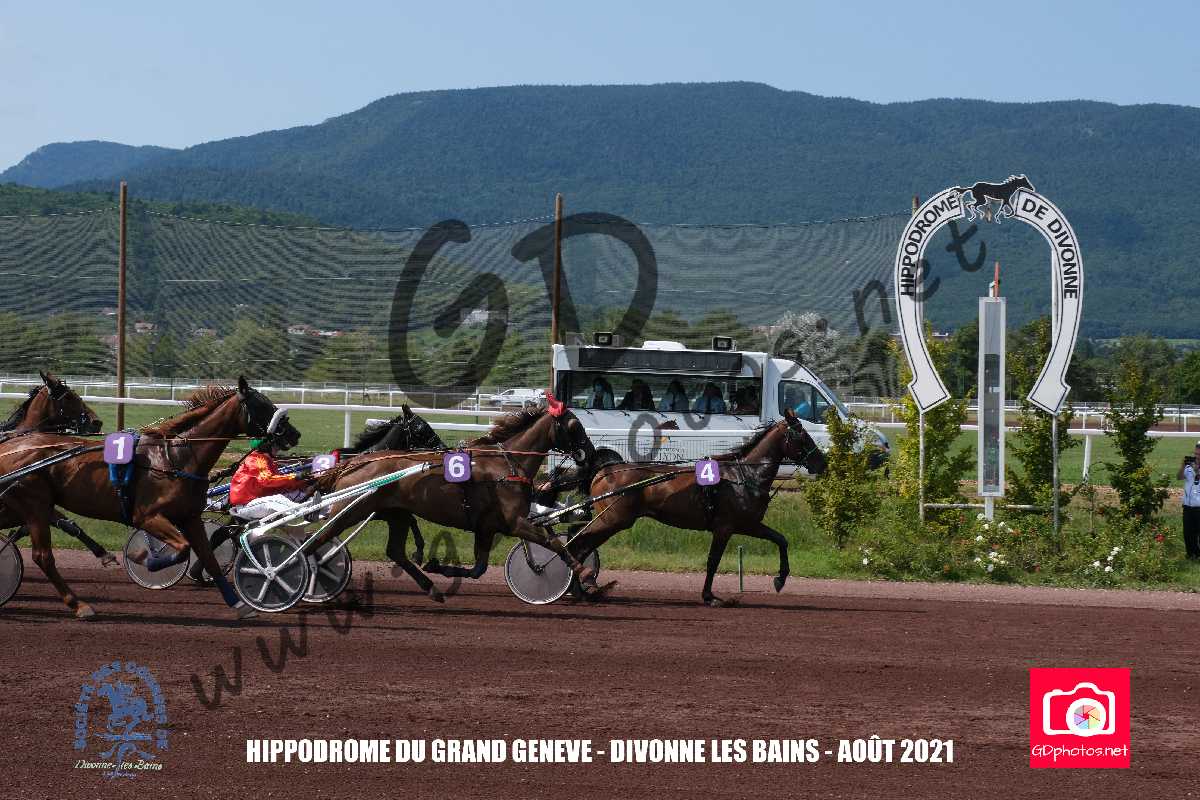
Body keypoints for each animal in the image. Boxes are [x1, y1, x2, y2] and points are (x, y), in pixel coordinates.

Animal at [309, 398, 597, 602]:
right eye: (575, 426)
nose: (591, 454)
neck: (507, 465)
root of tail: (353, 464)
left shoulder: (487, 527)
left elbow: (479, 568)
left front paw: (439, 567)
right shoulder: (515, 522)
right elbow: (552, 542)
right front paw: (584, 574)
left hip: (395, 514)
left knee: (395, 551)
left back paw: (432, 588)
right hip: (349, 511)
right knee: (318, 540)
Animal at [564, 409, 827, 606]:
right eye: (803, 436)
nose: (822, 463)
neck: (744, 476)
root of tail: (604, 471)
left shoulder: (747, 524)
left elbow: (781, 540)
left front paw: (780, 579)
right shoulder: (725, 527)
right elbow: (713, 561)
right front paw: (709, 596)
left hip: (612, 521)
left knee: (581, 547)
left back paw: (581, 591)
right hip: (613, 520)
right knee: (578, 546)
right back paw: (579, 590)